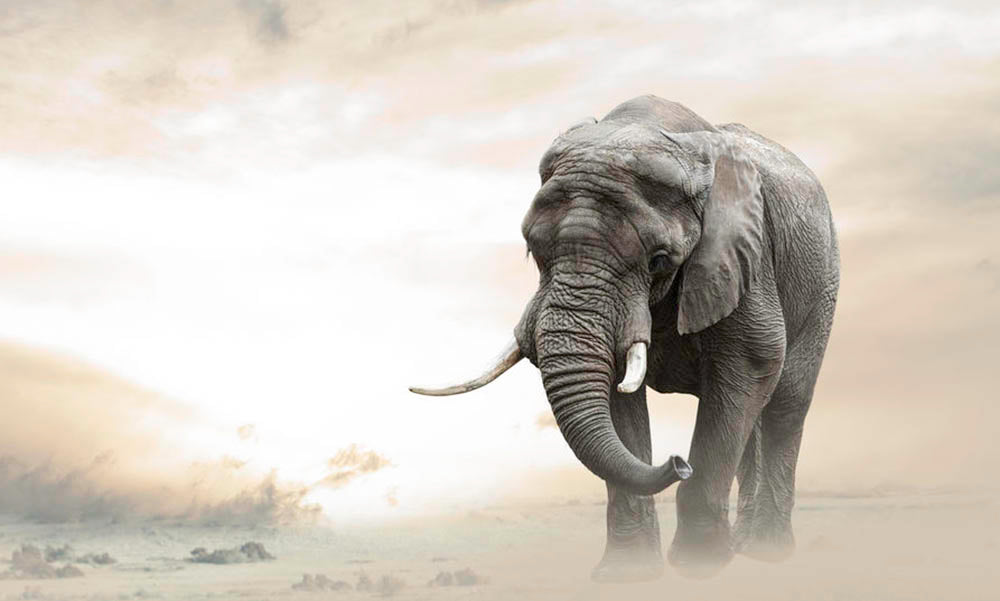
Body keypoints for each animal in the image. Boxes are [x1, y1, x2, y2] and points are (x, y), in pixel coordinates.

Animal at [411, 95, 839, 582]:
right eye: (531, 250)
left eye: (659, 260)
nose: (678, 462)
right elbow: (619, 396)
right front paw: (627, 574)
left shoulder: (743, 254)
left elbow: (751, 363)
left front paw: (698, 568)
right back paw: (745, 546)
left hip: (822, 280)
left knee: (785, 402)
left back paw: (765, 553)